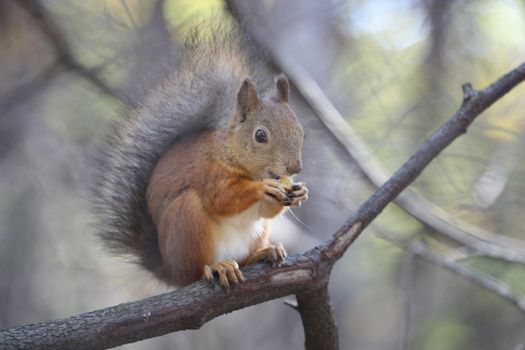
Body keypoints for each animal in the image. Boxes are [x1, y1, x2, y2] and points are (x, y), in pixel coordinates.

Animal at [92, 26, 308, 290]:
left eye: (301, 132)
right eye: (260, 135)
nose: (294, 167)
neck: (231, 153)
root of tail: (170, 272)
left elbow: (265, 211)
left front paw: (300, 193)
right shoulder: (209, 171)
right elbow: (223, 197)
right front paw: (263, 188)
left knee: (244, 258)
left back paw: (264, 252)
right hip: (186, 219)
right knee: (195, 272)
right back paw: (217, 267)